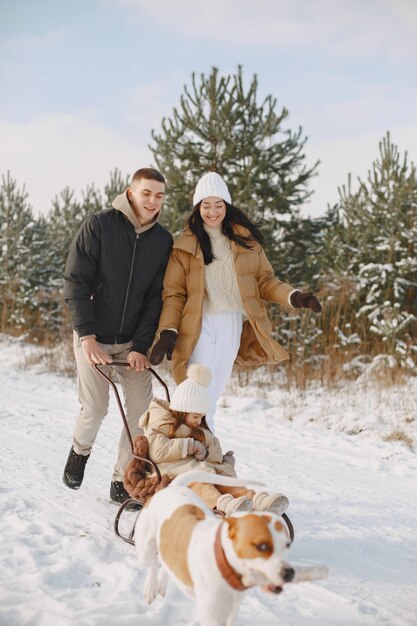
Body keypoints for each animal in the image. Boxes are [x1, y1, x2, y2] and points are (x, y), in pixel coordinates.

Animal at [135, 468, 326, 624]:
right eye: (261, 546)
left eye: (287, 545)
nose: (289, 573)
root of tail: (173, 487)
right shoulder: (211, 614)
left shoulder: (232, 610)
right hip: (144, 546)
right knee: (152, 563)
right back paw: (150, 588)